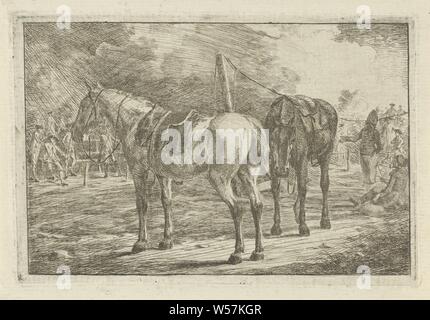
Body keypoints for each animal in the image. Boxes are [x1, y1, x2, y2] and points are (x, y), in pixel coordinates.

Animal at [72, 85, 268, 264]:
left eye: (84, 106)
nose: (74, 132)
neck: (136, 123)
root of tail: (247, 123)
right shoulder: (162, 175)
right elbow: (166, 202)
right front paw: (167, 240)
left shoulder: (139, 171)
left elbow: (142, 205)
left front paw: (140, 242)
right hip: (247, 174)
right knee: (256, 205)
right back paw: (257, 252)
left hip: (219, 178)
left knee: (237, 207)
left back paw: (237, 253)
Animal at [266, 94, 340, 236]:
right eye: (272, 139)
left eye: (292, 140)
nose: (282, 171)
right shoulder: (272, 163)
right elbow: (275, 189)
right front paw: (276, 226)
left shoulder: (302, 159)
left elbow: (302, 188)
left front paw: (303, 226)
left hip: (326, 154)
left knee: (324, 184)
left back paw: (325, 221)